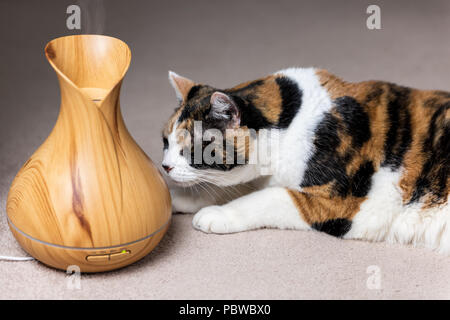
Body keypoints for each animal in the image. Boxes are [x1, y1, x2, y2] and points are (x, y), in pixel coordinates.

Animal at [163, 68, 448, 255]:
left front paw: (218, 214)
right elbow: (235, 187)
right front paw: (178, 198)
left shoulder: (341, 204)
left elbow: (268, 197)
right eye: (165, 141)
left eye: (192, 149)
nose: (165, 166)